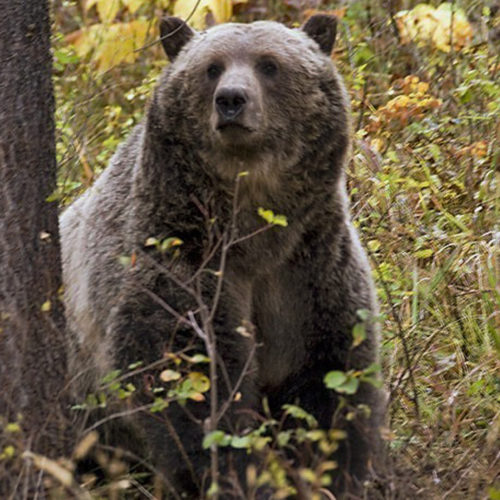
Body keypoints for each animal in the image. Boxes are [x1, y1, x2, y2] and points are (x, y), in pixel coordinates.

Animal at [60, 13, 384, 498]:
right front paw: (233, 472)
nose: (231, 100)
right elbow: (191, 379)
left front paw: (332, 471)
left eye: (269, 64)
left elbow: (331, 376)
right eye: (211, 67)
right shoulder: (179, 255)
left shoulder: (309, 266)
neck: (253, 229)